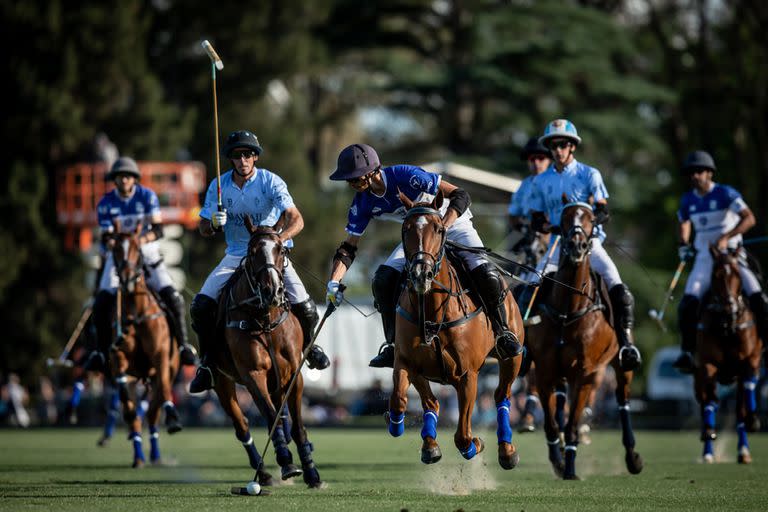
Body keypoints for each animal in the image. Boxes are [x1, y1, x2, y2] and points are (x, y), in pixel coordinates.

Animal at [109, 224, 182, 468]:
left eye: (136, 248)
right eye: (115, 249)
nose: (126, 279)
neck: (137, 313)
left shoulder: (160, 357)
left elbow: (164, 393)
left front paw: (173, 418)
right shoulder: (117, 358)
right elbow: (124, 395)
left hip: (165, 370)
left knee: (152, 411)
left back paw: (156, 454)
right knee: (135, 413)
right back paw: (139, 455)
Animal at [207, 219, 320, 488]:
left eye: (281, 249)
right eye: (252, 252)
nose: (272, 292)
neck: (266, 319)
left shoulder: (294, 375)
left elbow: (297, 425)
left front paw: (311, 472)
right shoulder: (253, 374)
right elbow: (271, 418)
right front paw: (286, 461)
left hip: (277, 382)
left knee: (283, 416)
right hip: (223, 382)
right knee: (242, 426)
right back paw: (265, 474)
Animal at [388, 191, 524, 468]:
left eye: (440, 229)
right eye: (405, 229)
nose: (421, 274)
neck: (432, 313)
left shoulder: (468, 375)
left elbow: (462, 435)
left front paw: (476, 444)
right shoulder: (406, 361)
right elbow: (400, 399)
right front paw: (402, 427)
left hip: (512, 357)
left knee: (501, 395)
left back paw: (507, 451)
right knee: (433, 402)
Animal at [528, 201, 640, 480]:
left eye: (590, 218)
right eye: (564, 218)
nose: (577, 245)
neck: (568, 310)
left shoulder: (585, 372)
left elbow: (571, 426)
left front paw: (569, 469)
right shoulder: (545, 370)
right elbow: (551, 424)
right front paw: (559, 462)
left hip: (619, 367)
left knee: (623, 401)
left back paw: (632, 457)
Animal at [696, 247, 760, 464]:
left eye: (738, 275)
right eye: (715, 276)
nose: (729, 307)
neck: (726, 325)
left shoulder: (749, 361)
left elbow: (743, 401)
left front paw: (753, 421)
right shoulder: (706, 365)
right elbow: (710, 402)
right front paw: (708, 435)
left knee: (739, 407)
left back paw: (744, 449)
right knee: (707, 402)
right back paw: (707, 448)